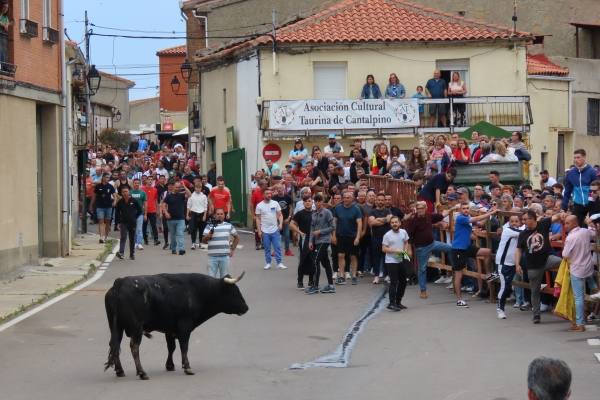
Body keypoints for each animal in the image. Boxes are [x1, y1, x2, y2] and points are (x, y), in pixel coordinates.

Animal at [104, 272, 247, 378]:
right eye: (234, 291)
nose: (246, 308)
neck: (197, 291)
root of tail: (119, 283)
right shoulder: (184, 326)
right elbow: (184, 346)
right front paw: (187, 367)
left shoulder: (170, 329)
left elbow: (171, 347)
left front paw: (170, 365)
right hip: (136, 328)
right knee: (134, 346)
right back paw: (141, 372)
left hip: (115, 327)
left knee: (114, 344)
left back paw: (120, 371)